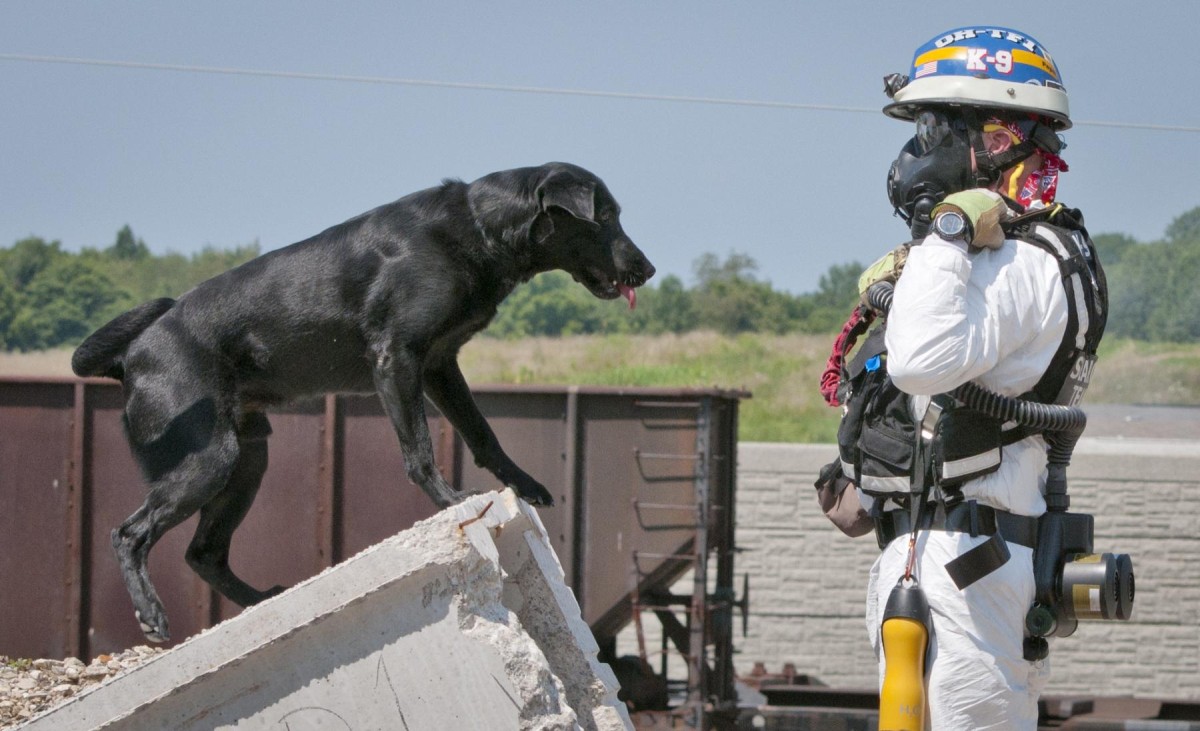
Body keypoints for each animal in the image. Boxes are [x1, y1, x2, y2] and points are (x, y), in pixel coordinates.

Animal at [72, 162, 657, 643]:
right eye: (606, 216)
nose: (648, 269)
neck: (477, 227)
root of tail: (131, 353)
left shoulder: (440, 365)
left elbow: (483, 434)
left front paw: (524, 485)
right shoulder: (397, 359)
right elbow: (419, 451)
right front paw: (451, 501)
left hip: (247, 459)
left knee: (203, 553)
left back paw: (263, 602)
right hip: (209, 460)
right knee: (129, 534)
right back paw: (152, 614)